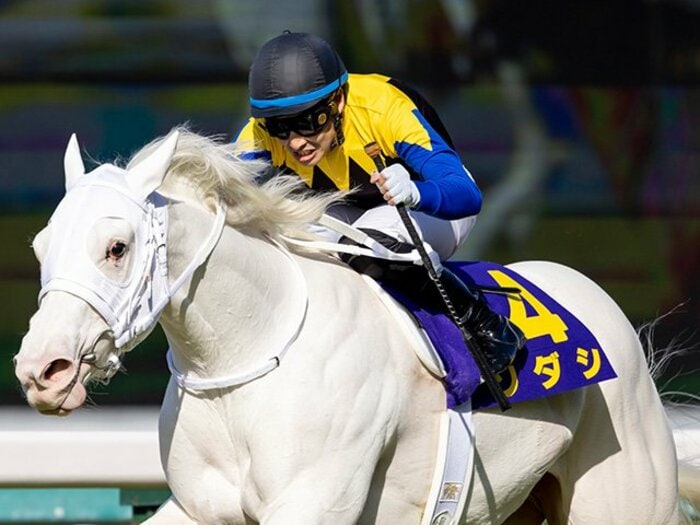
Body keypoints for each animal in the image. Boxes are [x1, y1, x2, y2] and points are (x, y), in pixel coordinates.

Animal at [14, 128, 700, 524]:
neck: (245, 360)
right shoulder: (200, 507)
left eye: (117, 247)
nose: (42, 370)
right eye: (42, 245)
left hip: (621, 493)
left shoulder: (313, 504)